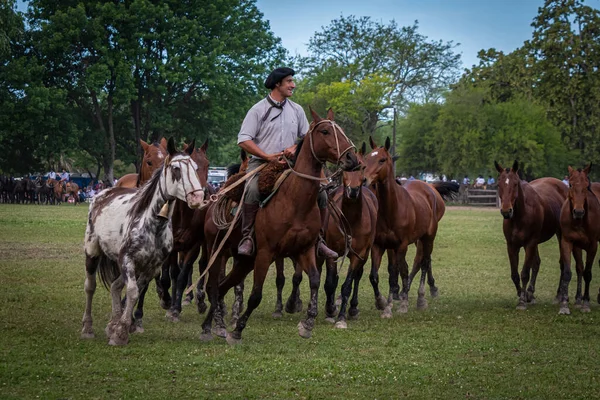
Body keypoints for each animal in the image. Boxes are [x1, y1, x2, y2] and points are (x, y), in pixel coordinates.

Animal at [81, 138, 205, 344]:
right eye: (176, 169)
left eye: (196, 167)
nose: (198, 197)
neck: (152, 225)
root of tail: (101, 195)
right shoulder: (127, 259)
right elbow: (132, 291)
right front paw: (121, 331)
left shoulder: (151, 267)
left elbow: (136, 290)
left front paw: (120, 326)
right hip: (92, 251)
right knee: (90, 287)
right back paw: (87, 327)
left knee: (115, 286)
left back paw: (112, 322)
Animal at [202, 108, 360, 344]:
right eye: (324, 131)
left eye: (340, 130)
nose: (352, 158)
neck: (294, 202)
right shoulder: (265, 253)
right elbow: (256, 295)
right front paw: (238, 330)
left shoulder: (305, 250)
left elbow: (314, 281)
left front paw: (307, 323)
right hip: (218, 253)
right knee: (214, 287)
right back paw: (212, 326)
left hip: (244, 262)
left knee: (222, 288)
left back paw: (213, 326)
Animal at [360, 137, 446, 316]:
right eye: (366, 158)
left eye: (382, 160)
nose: (364, 180)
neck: (392, 209)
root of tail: (430, 188)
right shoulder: (379, 246)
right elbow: (376, 275)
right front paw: (383, 304)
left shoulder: (401, 245)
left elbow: (400, 272)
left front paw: (400, 304)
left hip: (427, 238)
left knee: (424, 262)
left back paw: (421, 298)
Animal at [494, 159, 568, 310]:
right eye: (499, 184)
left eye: (515, 184)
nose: (506, 211)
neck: (520, 215)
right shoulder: (512, 245)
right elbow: (515, 274)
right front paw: (522, 294)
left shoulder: (530, 243)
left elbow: (524, 273)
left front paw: (522, 301)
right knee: (537, 263)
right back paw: (531, 293)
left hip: (559, 234)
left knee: (562, 263)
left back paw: (559, 295)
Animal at [556, 164, 600, 314]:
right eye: (570, 184)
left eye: (587, 185)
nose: (579, 212)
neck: (579, 222)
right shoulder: (569, 242)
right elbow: (569, 272)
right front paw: (564, 304)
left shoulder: (593, 245)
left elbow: (588, 273)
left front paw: (586, 303)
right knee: (579, 268)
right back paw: (577, 299)